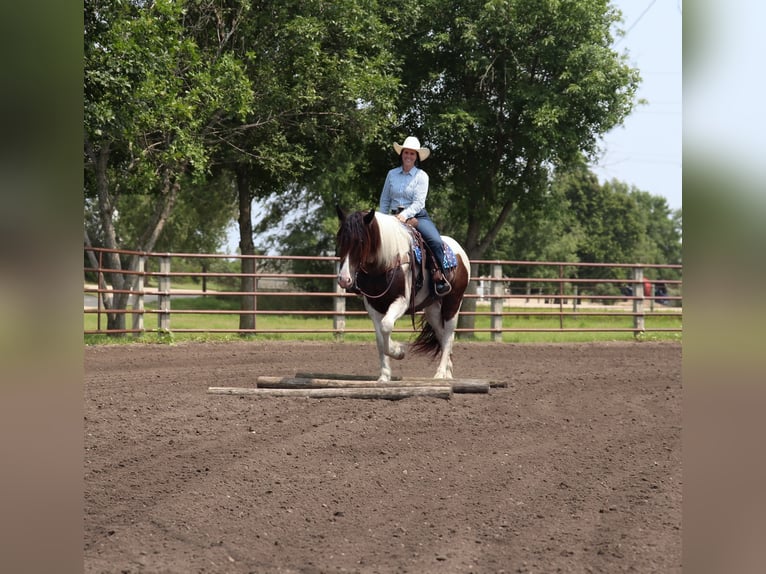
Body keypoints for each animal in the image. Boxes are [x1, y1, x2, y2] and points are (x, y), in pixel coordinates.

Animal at [338, 207, 472, 382]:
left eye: (360, 242)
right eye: (340, 241)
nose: (344, 279)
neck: (385, 263)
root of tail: (460, 252)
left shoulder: (401, 302)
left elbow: (386, 326)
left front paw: (399, 351)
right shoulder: (373, 307)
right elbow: (380, 339)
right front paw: (384, 376)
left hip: (453, 302)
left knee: (449, 335)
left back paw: (440, 373)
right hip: (432, 309)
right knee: (442, 335)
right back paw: (448, 373)